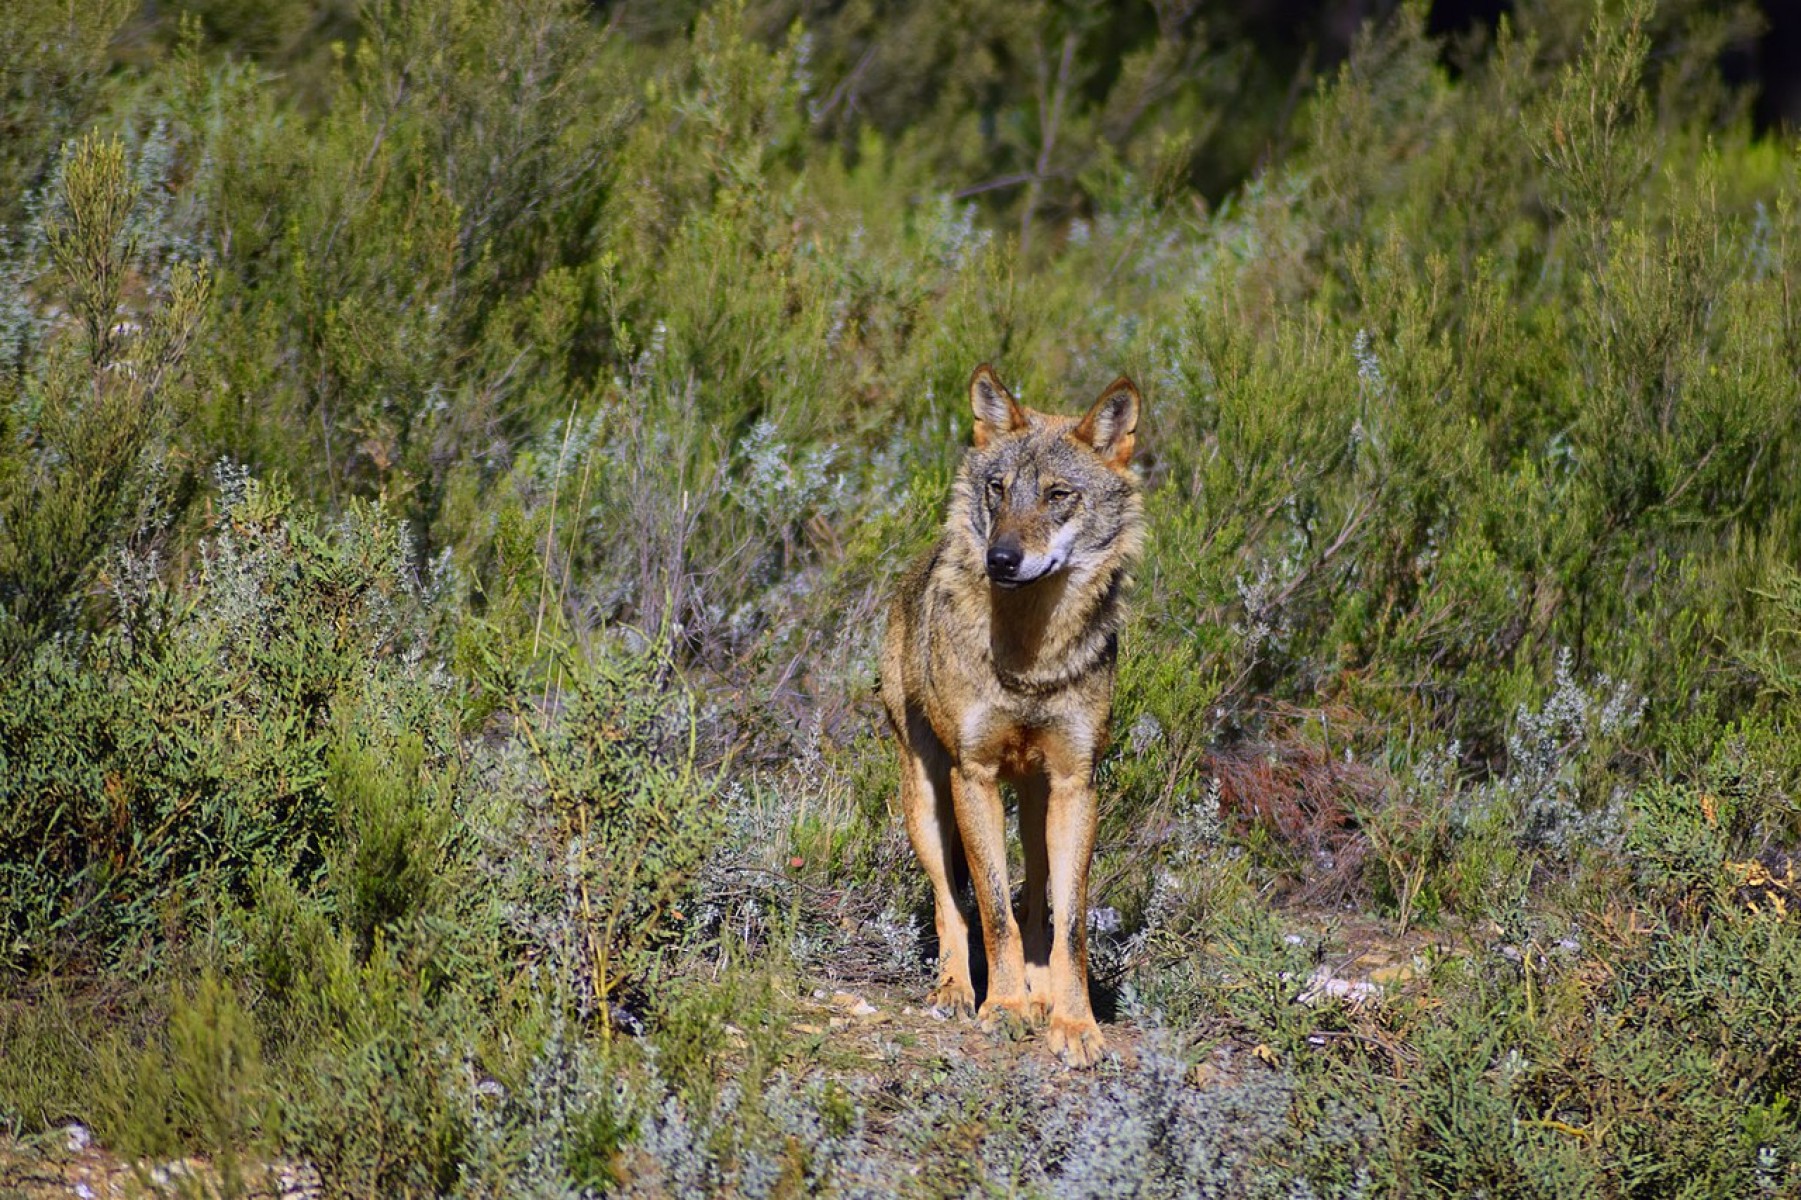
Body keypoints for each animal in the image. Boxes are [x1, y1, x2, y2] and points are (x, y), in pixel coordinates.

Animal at [882, 360, 1145, 1059]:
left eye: (1058, 495)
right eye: (997, 489)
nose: (1000, 558)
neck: (1031, 660)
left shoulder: (1078, 782)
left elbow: (1069, 923)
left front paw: (1074, 1022)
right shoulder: (972, 775)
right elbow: (993, 909)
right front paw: (1002, 1007)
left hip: (1035, 799)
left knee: (1039, 904)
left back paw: (1041, 989)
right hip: (926, 799)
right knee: (951, 903)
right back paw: (955, 990)